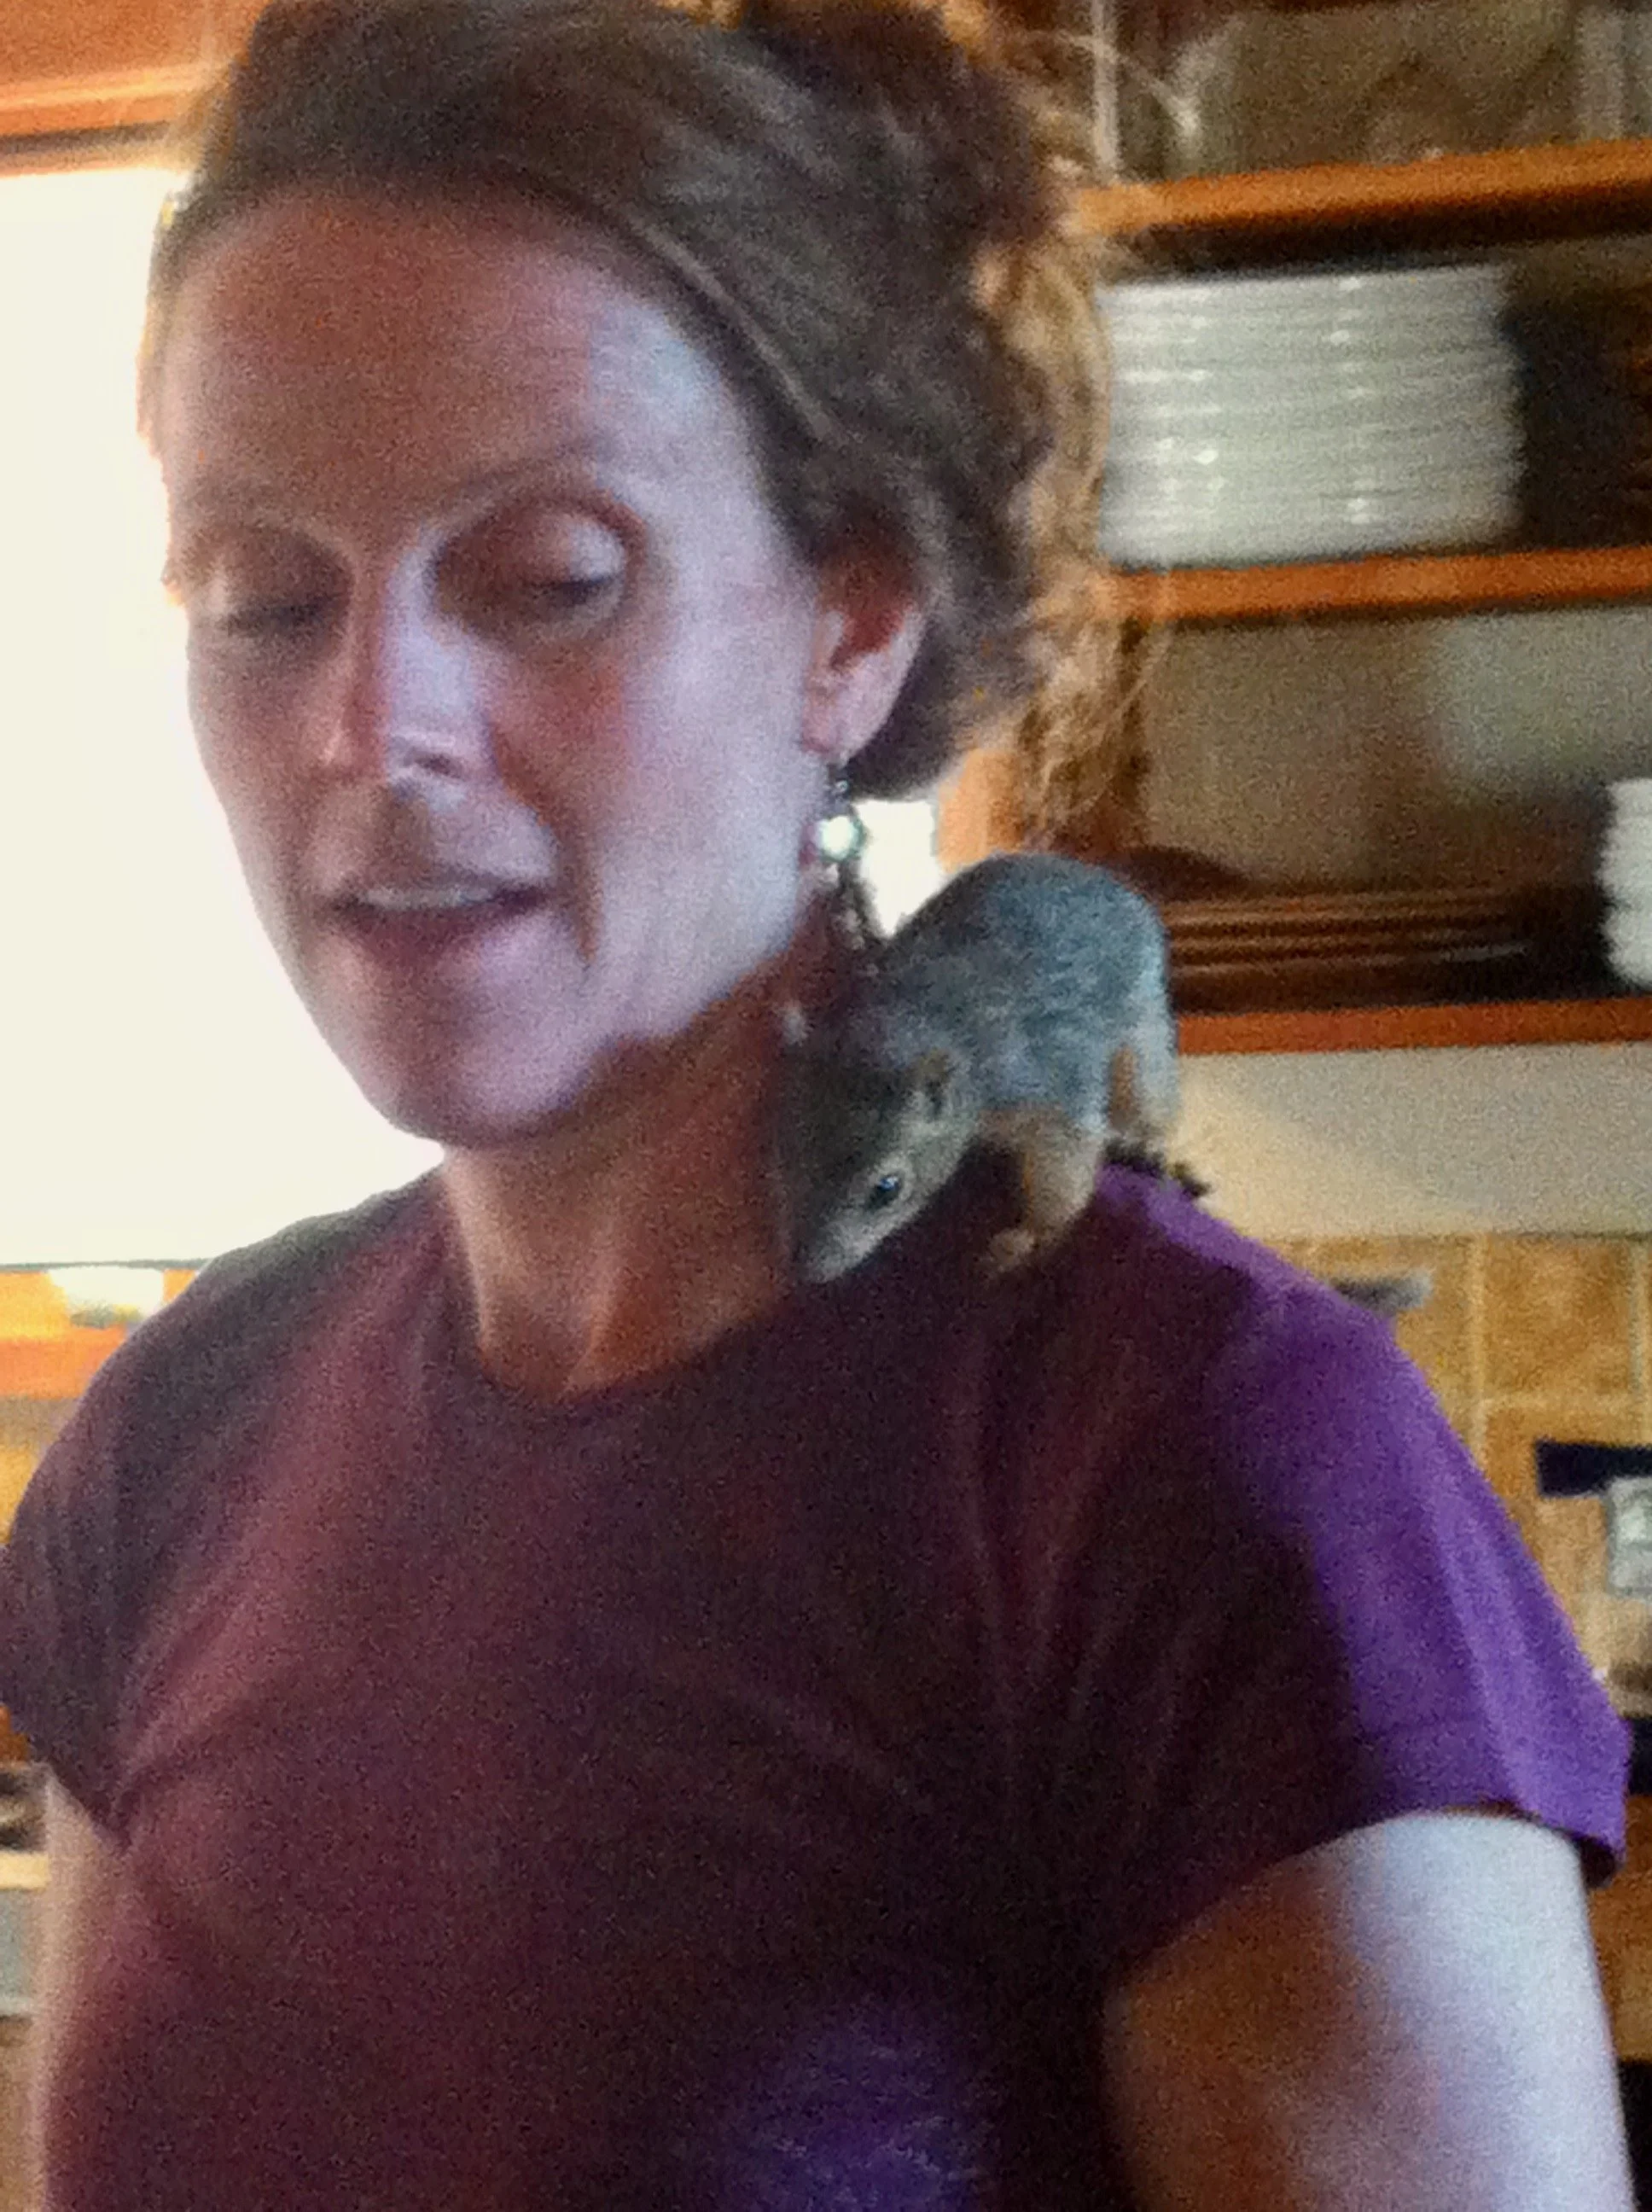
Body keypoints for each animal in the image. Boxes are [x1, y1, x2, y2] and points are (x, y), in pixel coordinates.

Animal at [777, 853, 1184, 1283]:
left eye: (888, 1189)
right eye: (784, 1152)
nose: (806, 1271)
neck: (924, 1015)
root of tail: (1110, 883)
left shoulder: (1052, 1089)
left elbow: (1064, 1169)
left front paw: (1029, 1239)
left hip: (1141, 1032)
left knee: (1151, 1098)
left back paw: (1150, 1144)